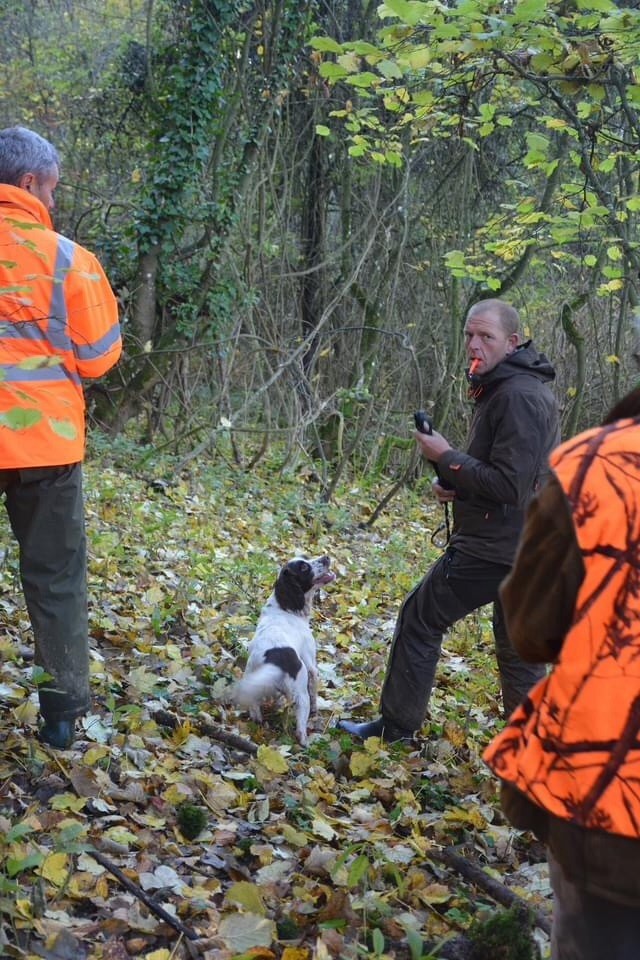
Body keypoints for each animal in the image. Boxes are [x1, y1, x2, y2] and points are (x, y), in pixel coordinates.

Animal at [234, 552, 336, 748]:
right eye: (304, 567)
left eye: (305, 556)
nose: (326, 557)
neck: (284, 608)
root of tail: (273, 662)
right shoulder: (311, 666)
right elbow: (314, 692)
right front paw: (316, 710)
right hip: (300, 696)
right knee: (300, 730)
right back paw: (306, 743)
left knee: (255, 710)